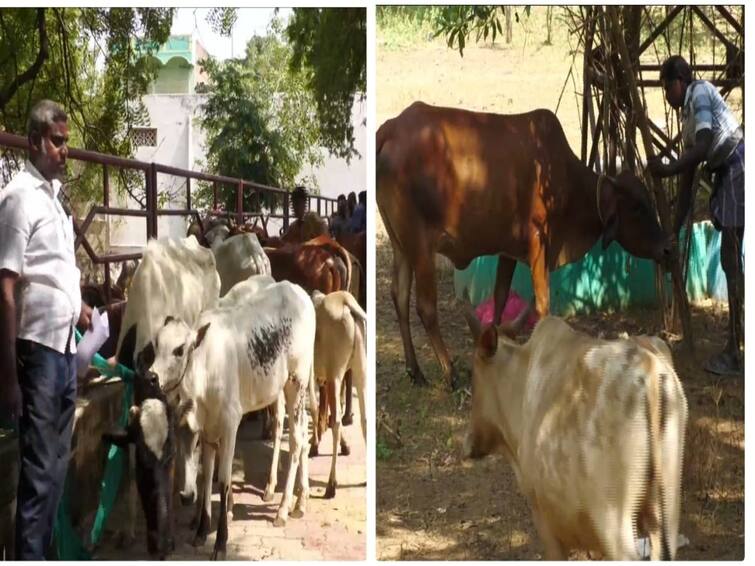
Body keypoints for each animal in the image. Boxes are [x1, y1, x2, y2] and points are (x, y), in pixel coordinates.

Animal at [378, 103, 672, 390]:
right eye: (638, 207)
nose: (667, 249)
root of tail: (391, 128)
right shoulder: (539, 242)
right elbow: (542, 304)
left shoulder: (508, 250)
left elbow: (500, 296)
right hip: (420, 247)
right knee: (425, 307)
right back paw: (450, 374)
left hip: (401, 246)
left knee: (399, 296)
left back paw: (415, 371)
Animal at [464, 310, 688, 564]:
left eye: (473, 374)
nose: (469, 444)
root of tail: (650, 369)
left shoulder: (543, 517)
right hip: (667, 511)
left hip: (613, 517)